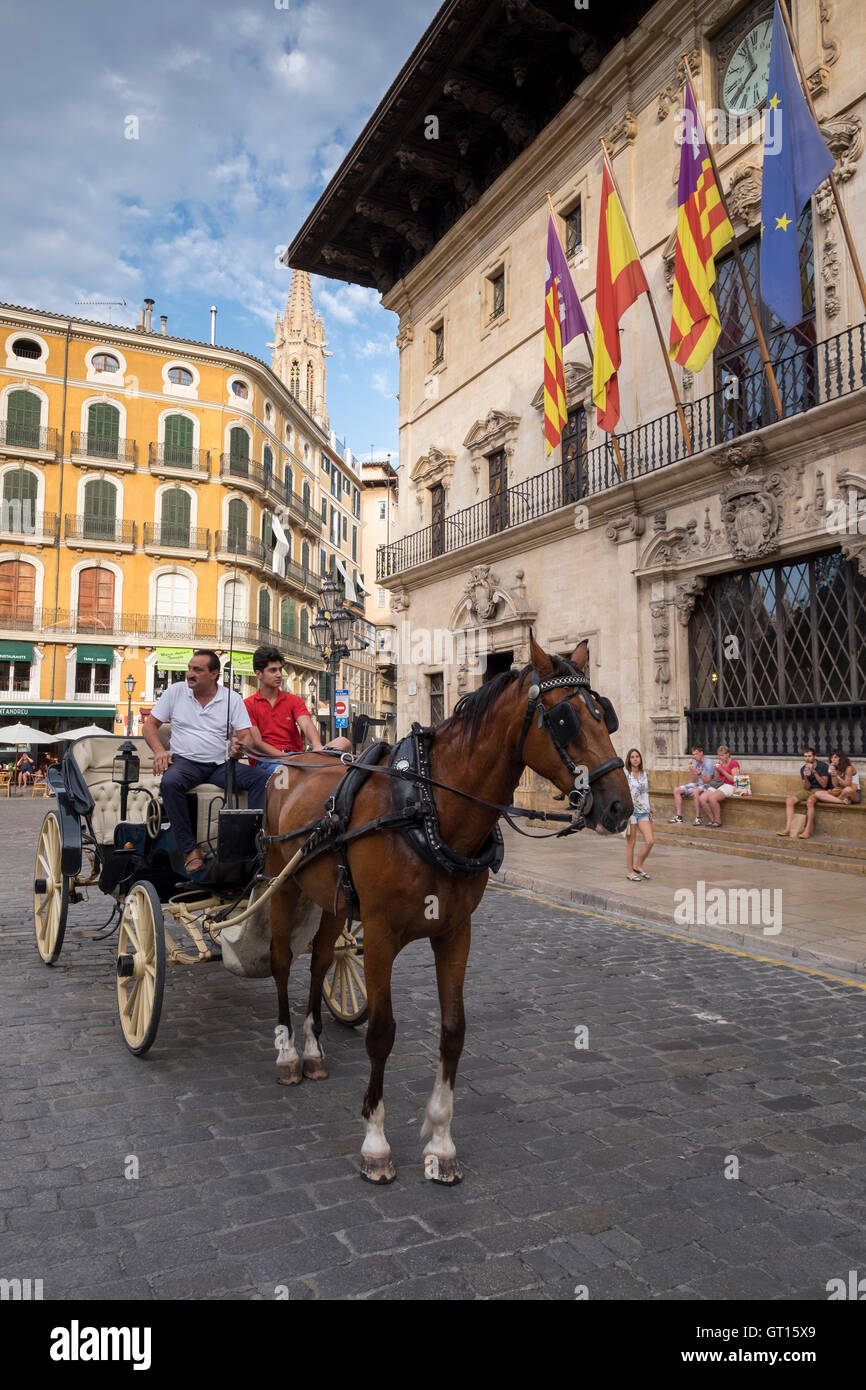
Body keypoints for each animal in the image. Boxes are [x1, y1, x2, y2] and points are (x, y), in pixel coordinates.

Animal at [262, 636, 631, 1184]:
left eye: (604, 714)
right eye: (564, 719)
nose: (621, 807)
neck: (428, 811)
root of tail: (296, 760)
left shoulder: (455, 931)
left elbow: (454, 1030)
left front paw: (440, 1142)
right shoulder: (379, 935)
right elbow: (382, 1033)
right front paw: (376, 1144)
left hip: (328, 898)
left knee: (322, 961)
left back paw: (311, 1050)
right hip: (281, 883)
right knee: (283, 961)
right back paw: (287, 1055)